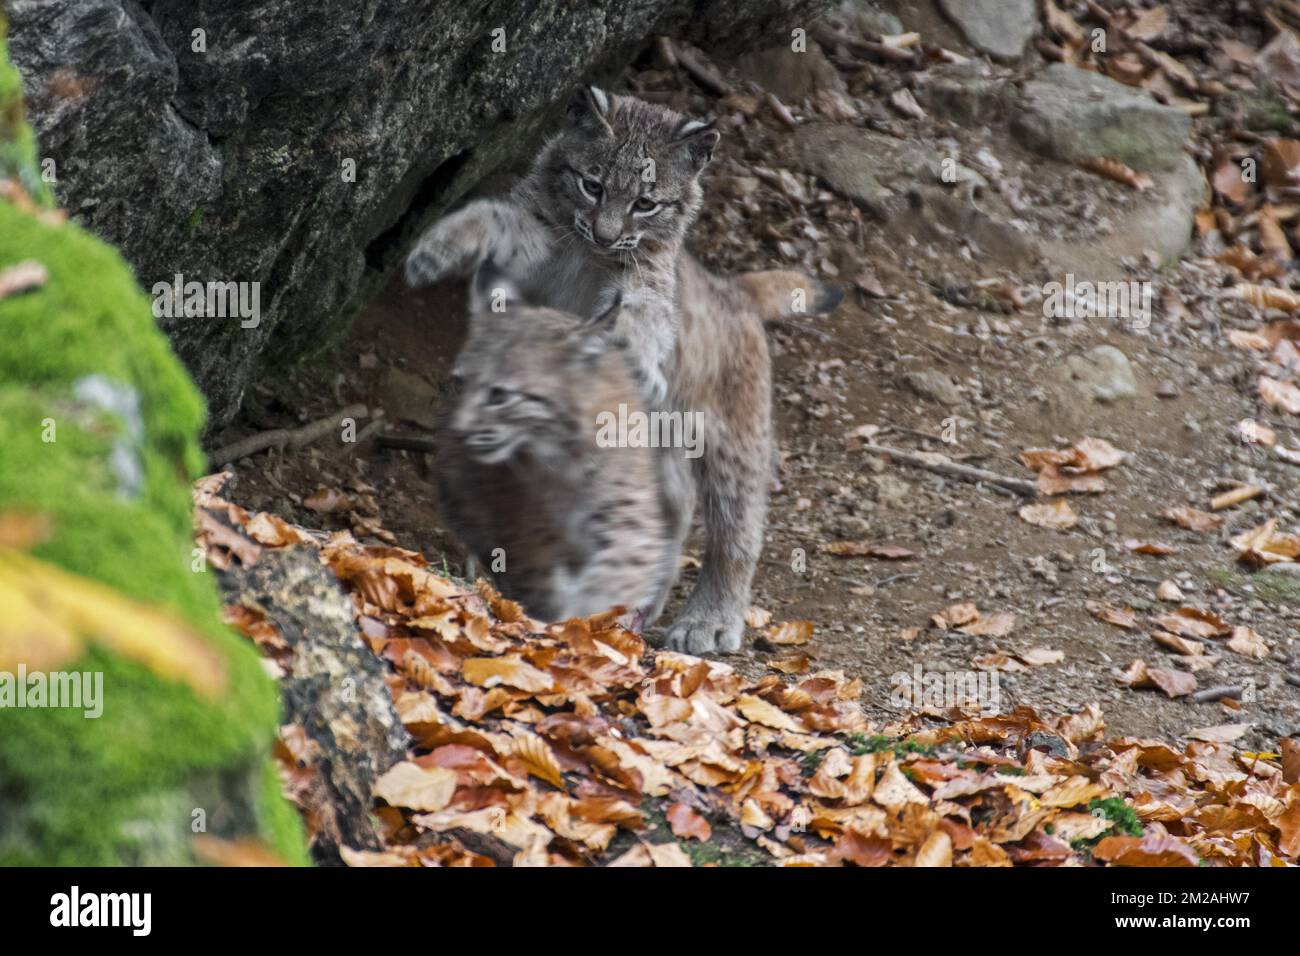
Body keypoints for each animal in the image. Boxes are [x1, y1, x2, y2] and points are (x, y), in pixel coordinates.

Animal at [439, 267, 681, 629]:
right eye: (459, 382)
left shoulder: (628, 511)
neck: (560, 453)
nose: (459, 430)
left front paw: (589, 619)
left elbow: (621, 567)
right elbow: (534, 562)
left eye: (499, 395)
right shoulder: (518, 517)